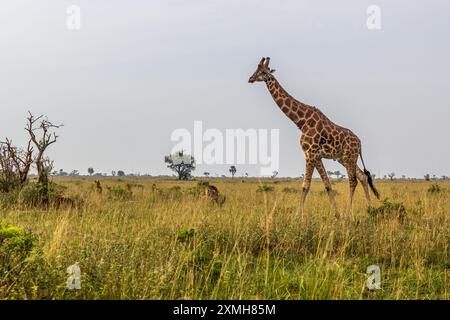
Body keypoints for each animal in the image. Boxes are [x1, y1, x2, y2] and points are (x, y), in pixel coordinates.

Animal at [250, 57, 380, 218]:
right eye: (255, 70)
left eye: (263, 72)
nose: (250, 78)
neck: (301, 121)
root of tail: (360, 143)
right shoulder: (316, 156)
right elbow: (327, 185)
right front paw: (336, 215)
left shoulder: (310, 153)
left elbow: (306, 185)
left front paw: (297, 217)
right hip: (344, 158)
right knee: (363, 177)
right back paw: (370, 209)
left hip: (349, 157)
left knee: (353, 181)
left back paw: (348, 215)